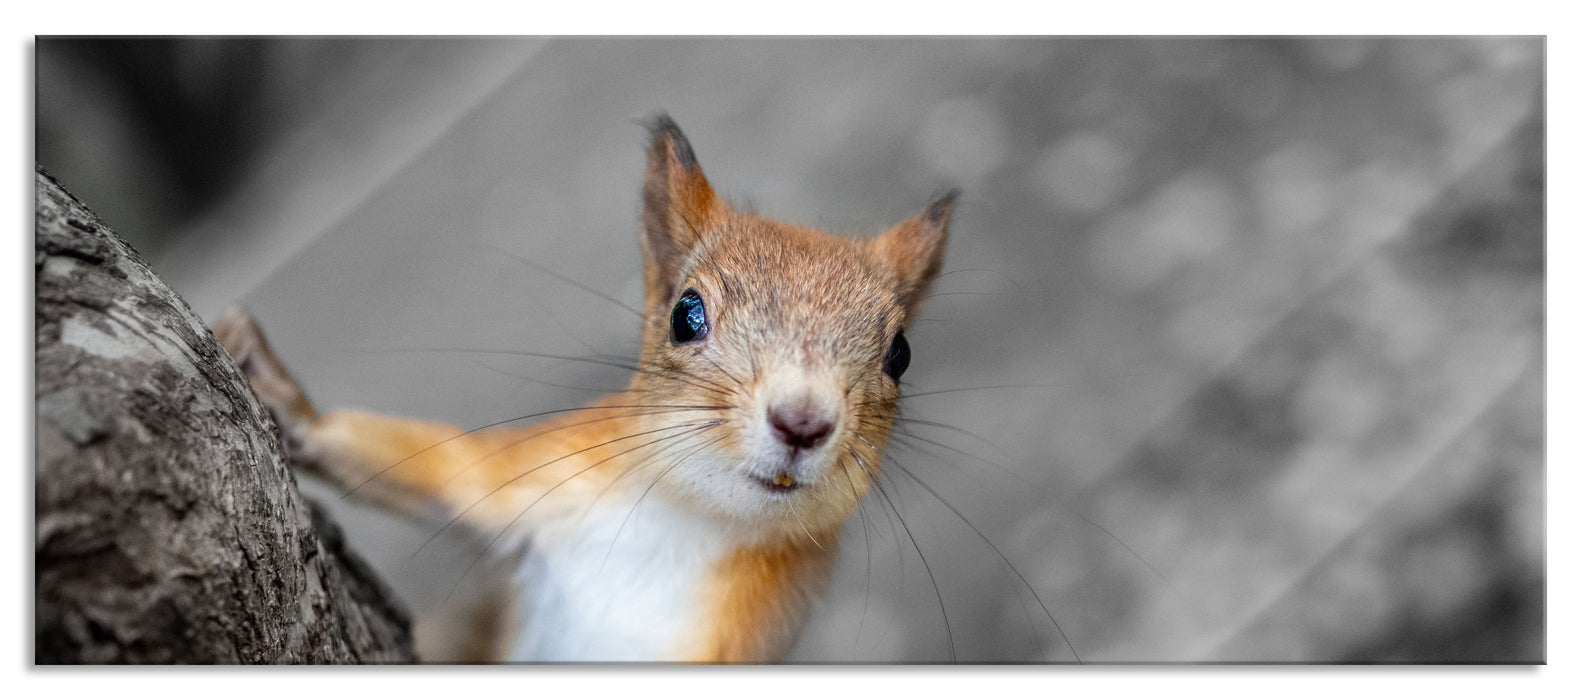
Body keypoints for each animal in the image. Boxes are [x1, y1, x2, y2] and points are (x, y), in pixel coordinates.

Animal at [210, 114, 949, 661]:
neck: (688, 523)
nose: (802, 422)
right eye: (685, 314)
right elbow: (442, 467)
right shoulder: (550, 471)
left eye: (901, 353)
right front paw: (285, 400)